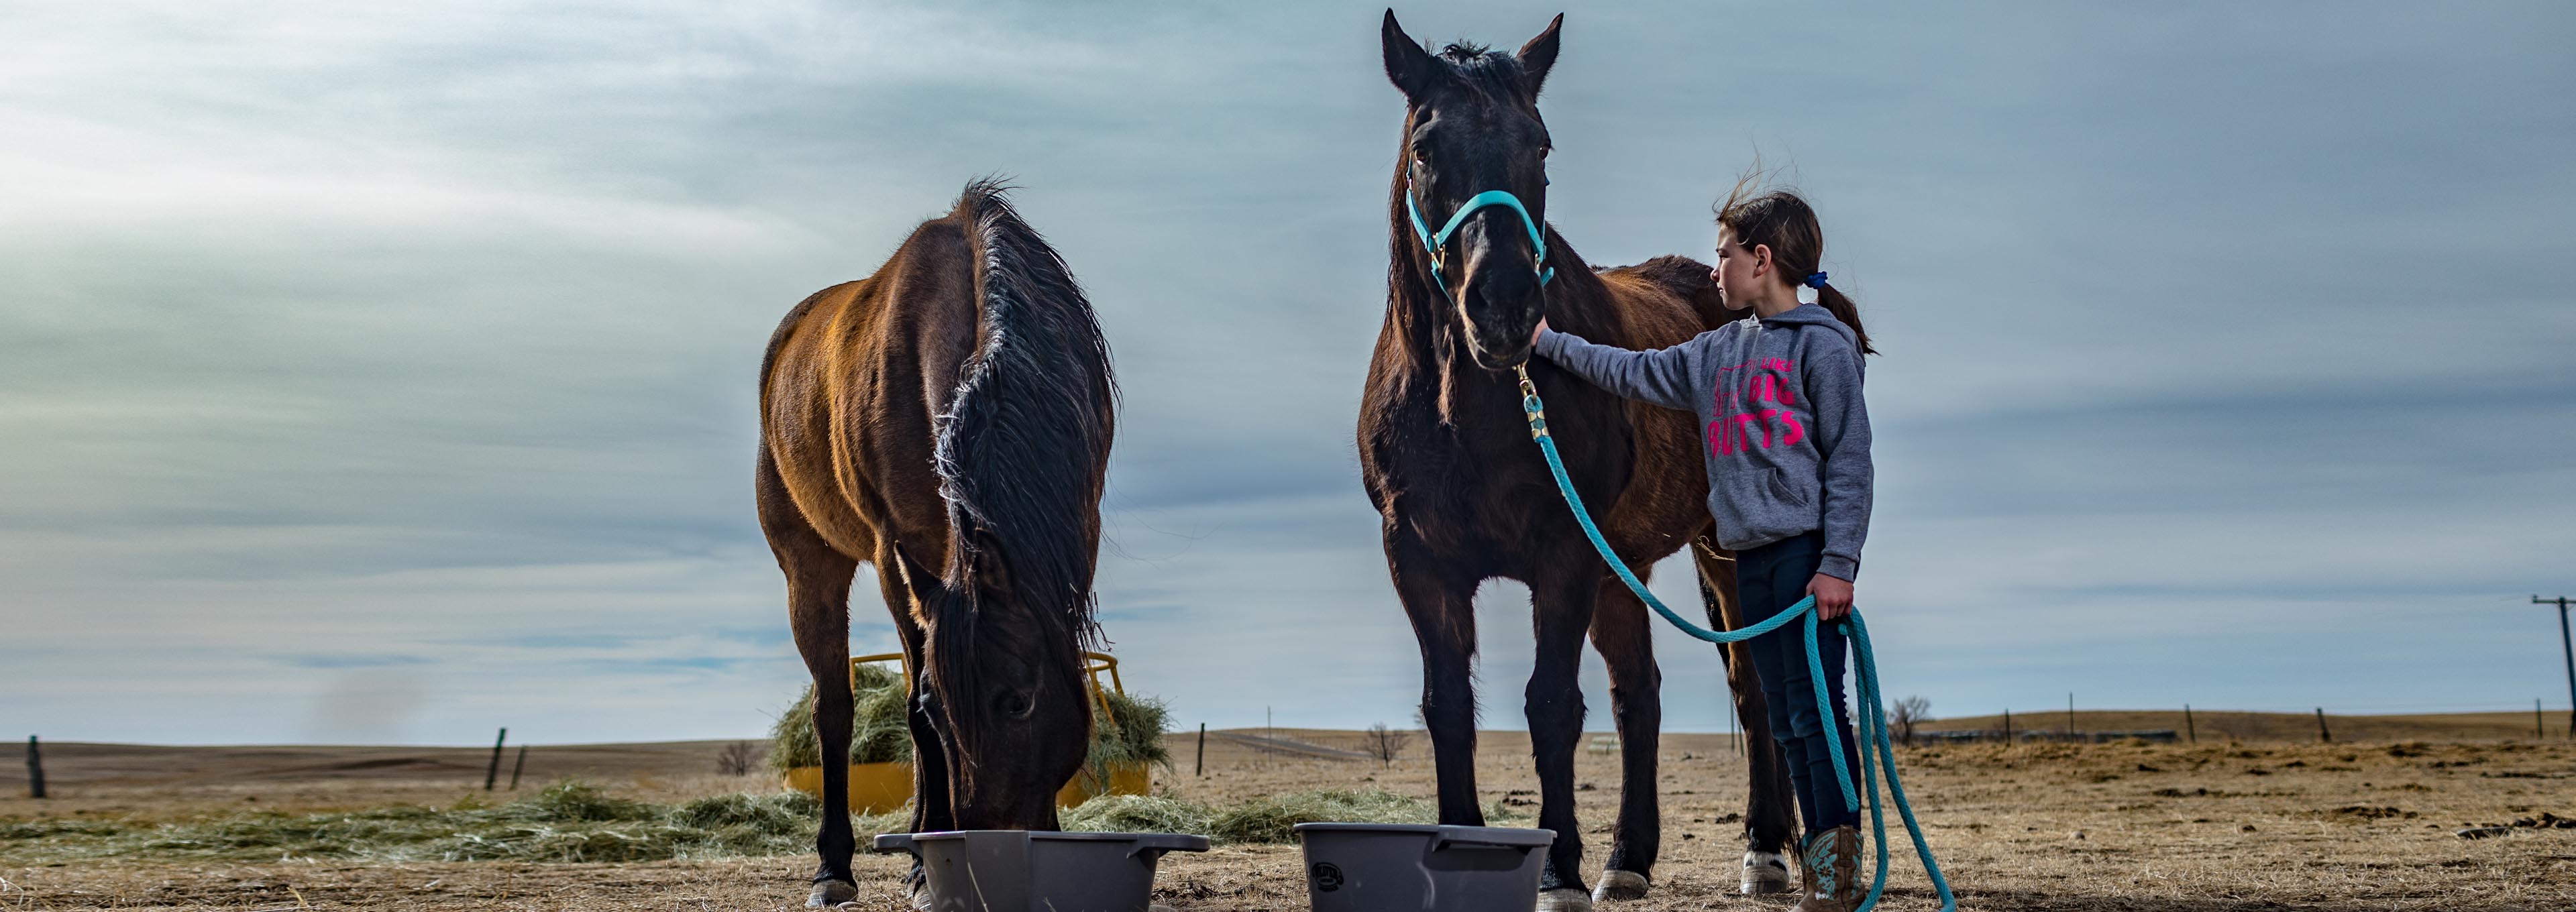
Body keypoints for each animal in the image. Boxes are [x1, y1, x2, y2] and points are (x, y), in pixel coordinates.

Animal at [747, 178, 1108, 907]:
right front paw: (921, 861)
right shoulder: (900, 549)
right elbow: (911, 709)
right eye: (949, 717)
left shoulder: (1076, 531)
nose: (989, 842)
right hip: (811, 569)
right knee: (835, 709)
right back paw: (837, 868)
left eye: (1017, 701)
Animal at [1370, 14, 1792, 912]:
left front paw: (1558, 868)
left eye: (1540, 144)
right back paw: (1629, 857)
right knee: (1642, 693)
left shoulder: (1562, 554)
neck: (1466, 407)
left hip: (1722, 551)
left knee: (1753, 685)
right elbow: (1448, 706)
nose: (1503, 306)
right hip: (1622, 568)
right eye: (1426, 146)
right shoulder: (1419, 560)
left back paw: (1767, 847)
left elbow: (1552, 706)